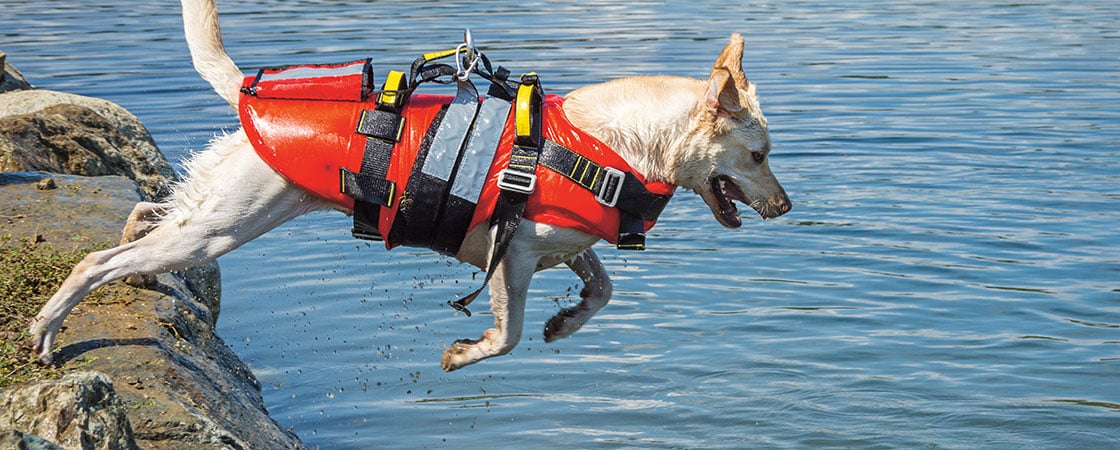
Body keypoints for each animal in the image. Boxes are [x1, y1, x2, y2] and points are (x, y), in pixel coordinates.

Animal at [30, 0, 792, 371]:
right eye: (759, 155)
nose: (785, 207)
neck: (611, 145)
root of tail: (245, 86)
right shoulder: (512, 259)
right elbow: (507, 334)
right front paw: (467, 353)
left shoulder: (562, 245)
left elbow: (601, 288)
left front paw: (568, 320)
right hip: (224, 225)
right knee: (96, 261)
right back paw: (47, 329)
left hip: (220, 214)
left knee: (143, 216)